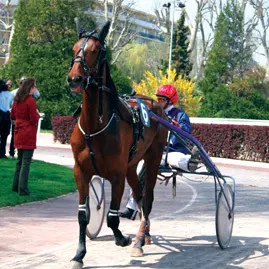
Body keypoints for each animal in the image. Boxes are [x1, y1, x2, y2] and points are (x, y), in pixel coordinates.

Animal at [67, 21, 168, 268]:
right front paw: (79, 255)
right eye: (74, 47)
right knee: (139, 195)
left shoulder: (116, 174)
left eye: (95, 50)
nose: (75, 78)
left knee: (147, 198)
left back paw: (139, 240)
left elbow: (112, 217)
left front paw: (123, 238)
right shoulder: (80, 171)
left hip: (153, 157)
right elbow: (83, 214)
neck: (94, 126)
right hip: (131, 166)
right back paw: (144, 234)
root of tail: (154, 105)